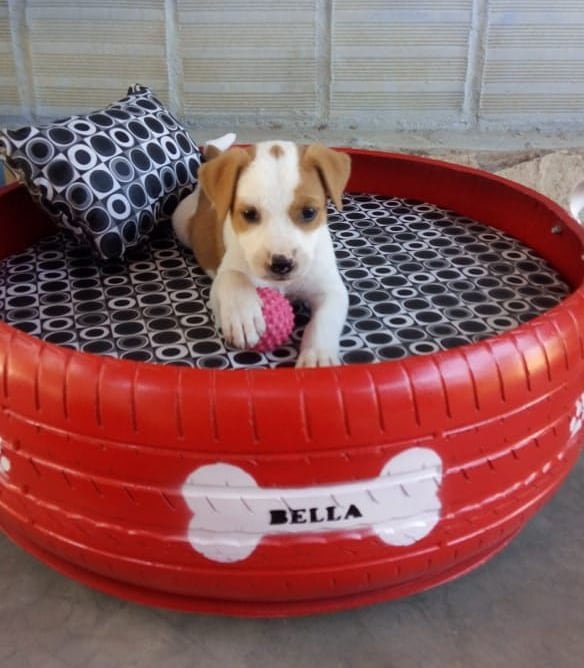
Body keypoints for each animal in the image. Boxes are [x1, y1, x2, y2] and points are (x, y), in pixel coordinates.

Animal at [172, 135, 351, 367]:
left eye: (309, 212)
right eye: (249, 213)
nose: (281, 263)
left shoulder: (330, 288)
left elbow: (324, 320)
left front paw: (318, 357)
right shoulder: (224, 277)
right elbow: (233, 277)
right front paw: (242, 315)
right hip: (180, 222)